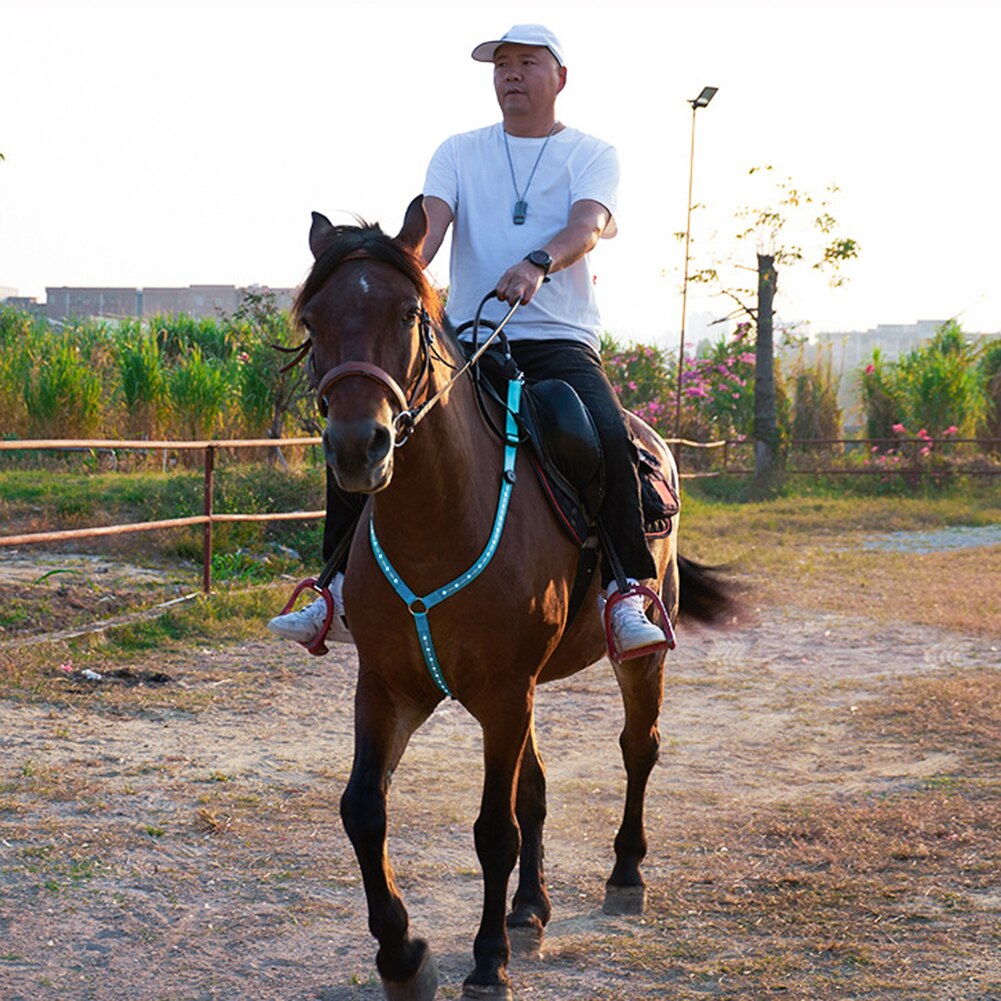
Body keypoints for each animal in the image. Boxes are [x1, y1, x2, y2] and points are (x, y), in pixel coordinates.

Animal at [292, 197, 732, 1001]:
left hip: (633, 660)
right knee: (537, 788)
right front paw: (404, 956)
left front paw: (486, 959)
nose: (358, 447)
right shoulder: (389, 686)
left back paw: (624, 875)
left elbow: (493, 829)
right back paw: (530, 908)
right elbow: (364, 811)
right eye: (313, 320)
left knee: (638, 747)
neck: (439, 522)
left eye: (407, 313)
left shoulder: (502, 692)